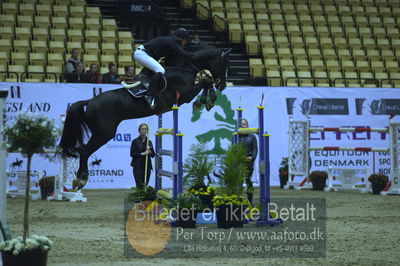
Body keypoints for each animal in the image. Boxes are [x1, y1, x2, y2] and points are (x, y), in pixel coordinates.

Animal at [57, 44, 230, 189]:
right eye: (224, 65)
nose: (223, 85)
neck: (184, 68)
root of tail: (90, 101)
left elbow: (206, 82)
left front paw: (208, 101)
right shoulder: (184, 95)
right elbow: (206, 82)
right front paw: (206, 100)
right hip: (104, 133)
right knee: (84, 151)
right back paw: (81, 179)